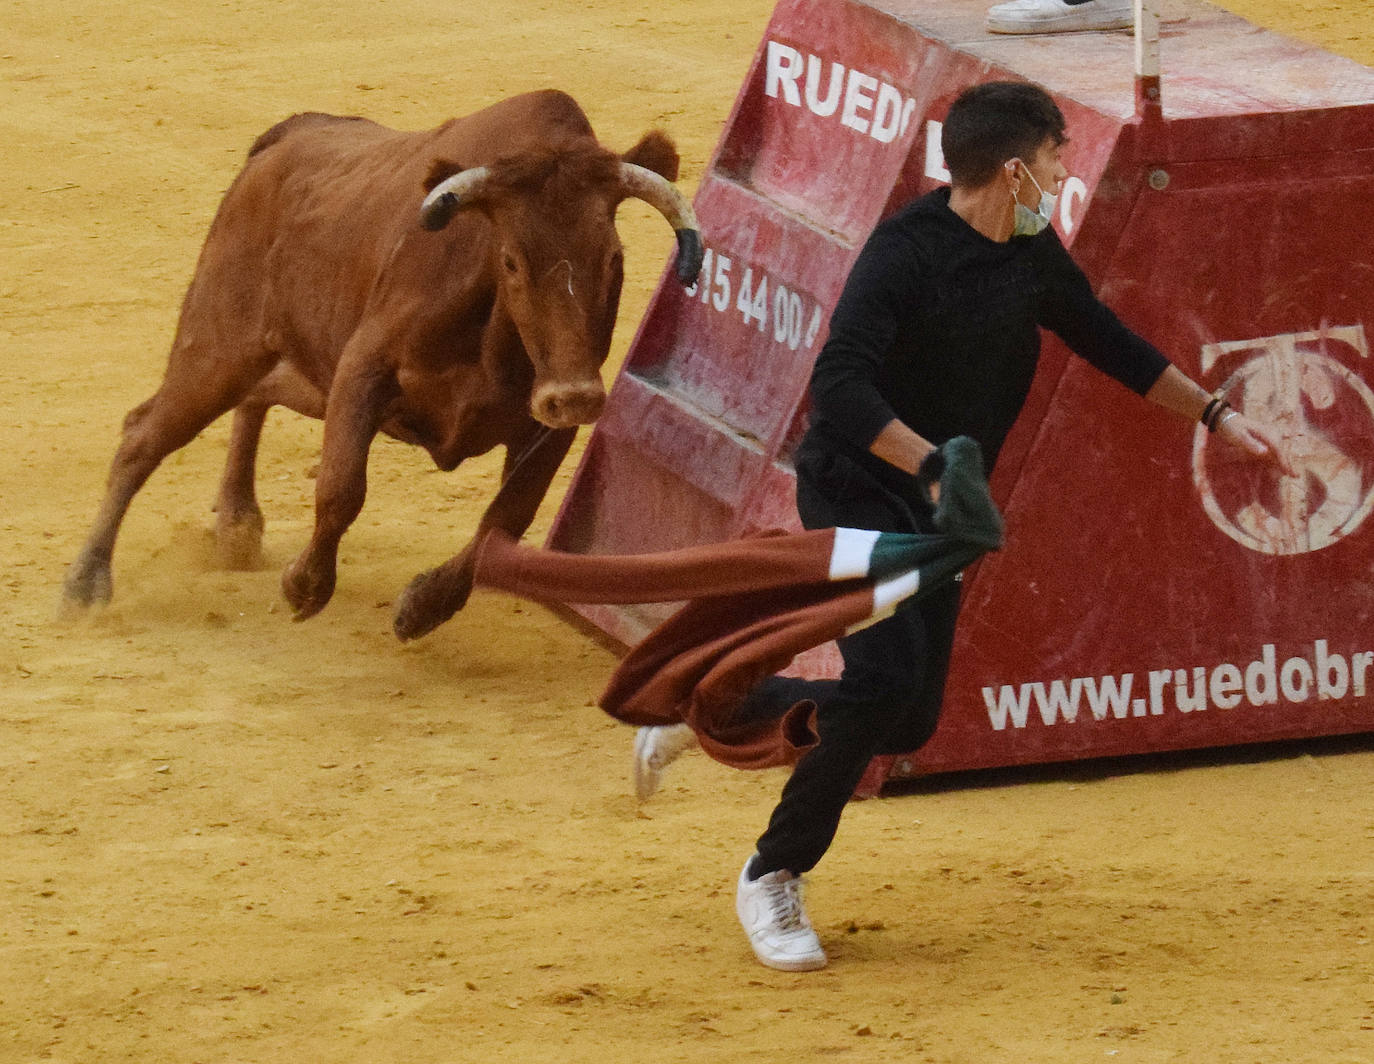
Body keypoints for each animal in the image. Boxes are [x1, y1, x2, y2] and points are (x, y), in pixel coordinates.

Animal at [59, 91, 703, 637]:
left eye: (614, 258)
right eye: (512, 261)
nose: (572, 396)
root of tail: (286, 138)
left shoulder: (547, 426)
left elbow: (506, 520)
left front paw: (424, 606)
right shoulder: (361, 370)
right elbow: (343, 486)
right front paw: (304, 585)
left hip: (280, 357)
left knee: (252, 399)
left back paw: (237, 526)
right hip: (217, 345)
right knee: (144, 433)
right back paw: (85, 584)